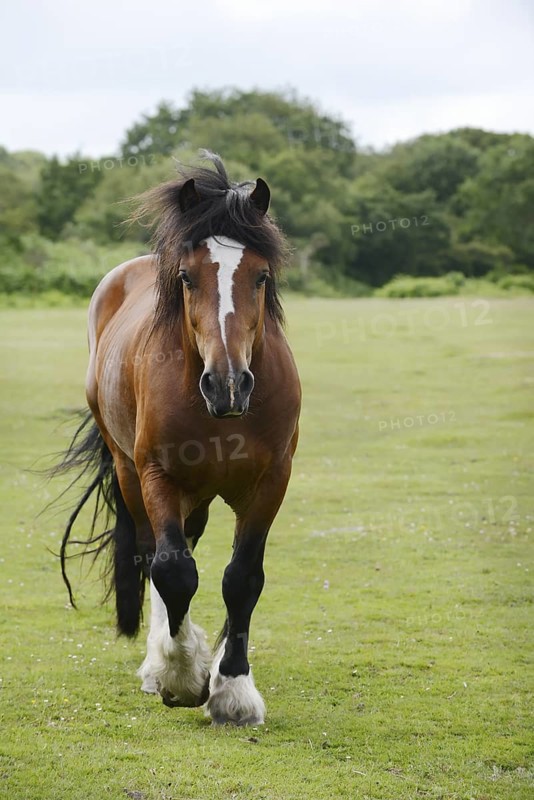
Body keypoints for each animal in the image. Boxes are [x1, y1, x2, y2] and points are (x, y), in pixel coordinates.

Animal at [55, 151, 301, 726]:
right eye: (187, 278)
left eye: (261, 276)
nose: (229, 383)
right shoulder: (158, 475)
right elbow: (172, 570)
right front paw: (184, 675)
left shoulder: (271, 482)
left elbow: (242, 577)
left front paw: (232, 689)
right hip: (131, 472)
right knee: (155, 556)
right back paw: (159, 662)